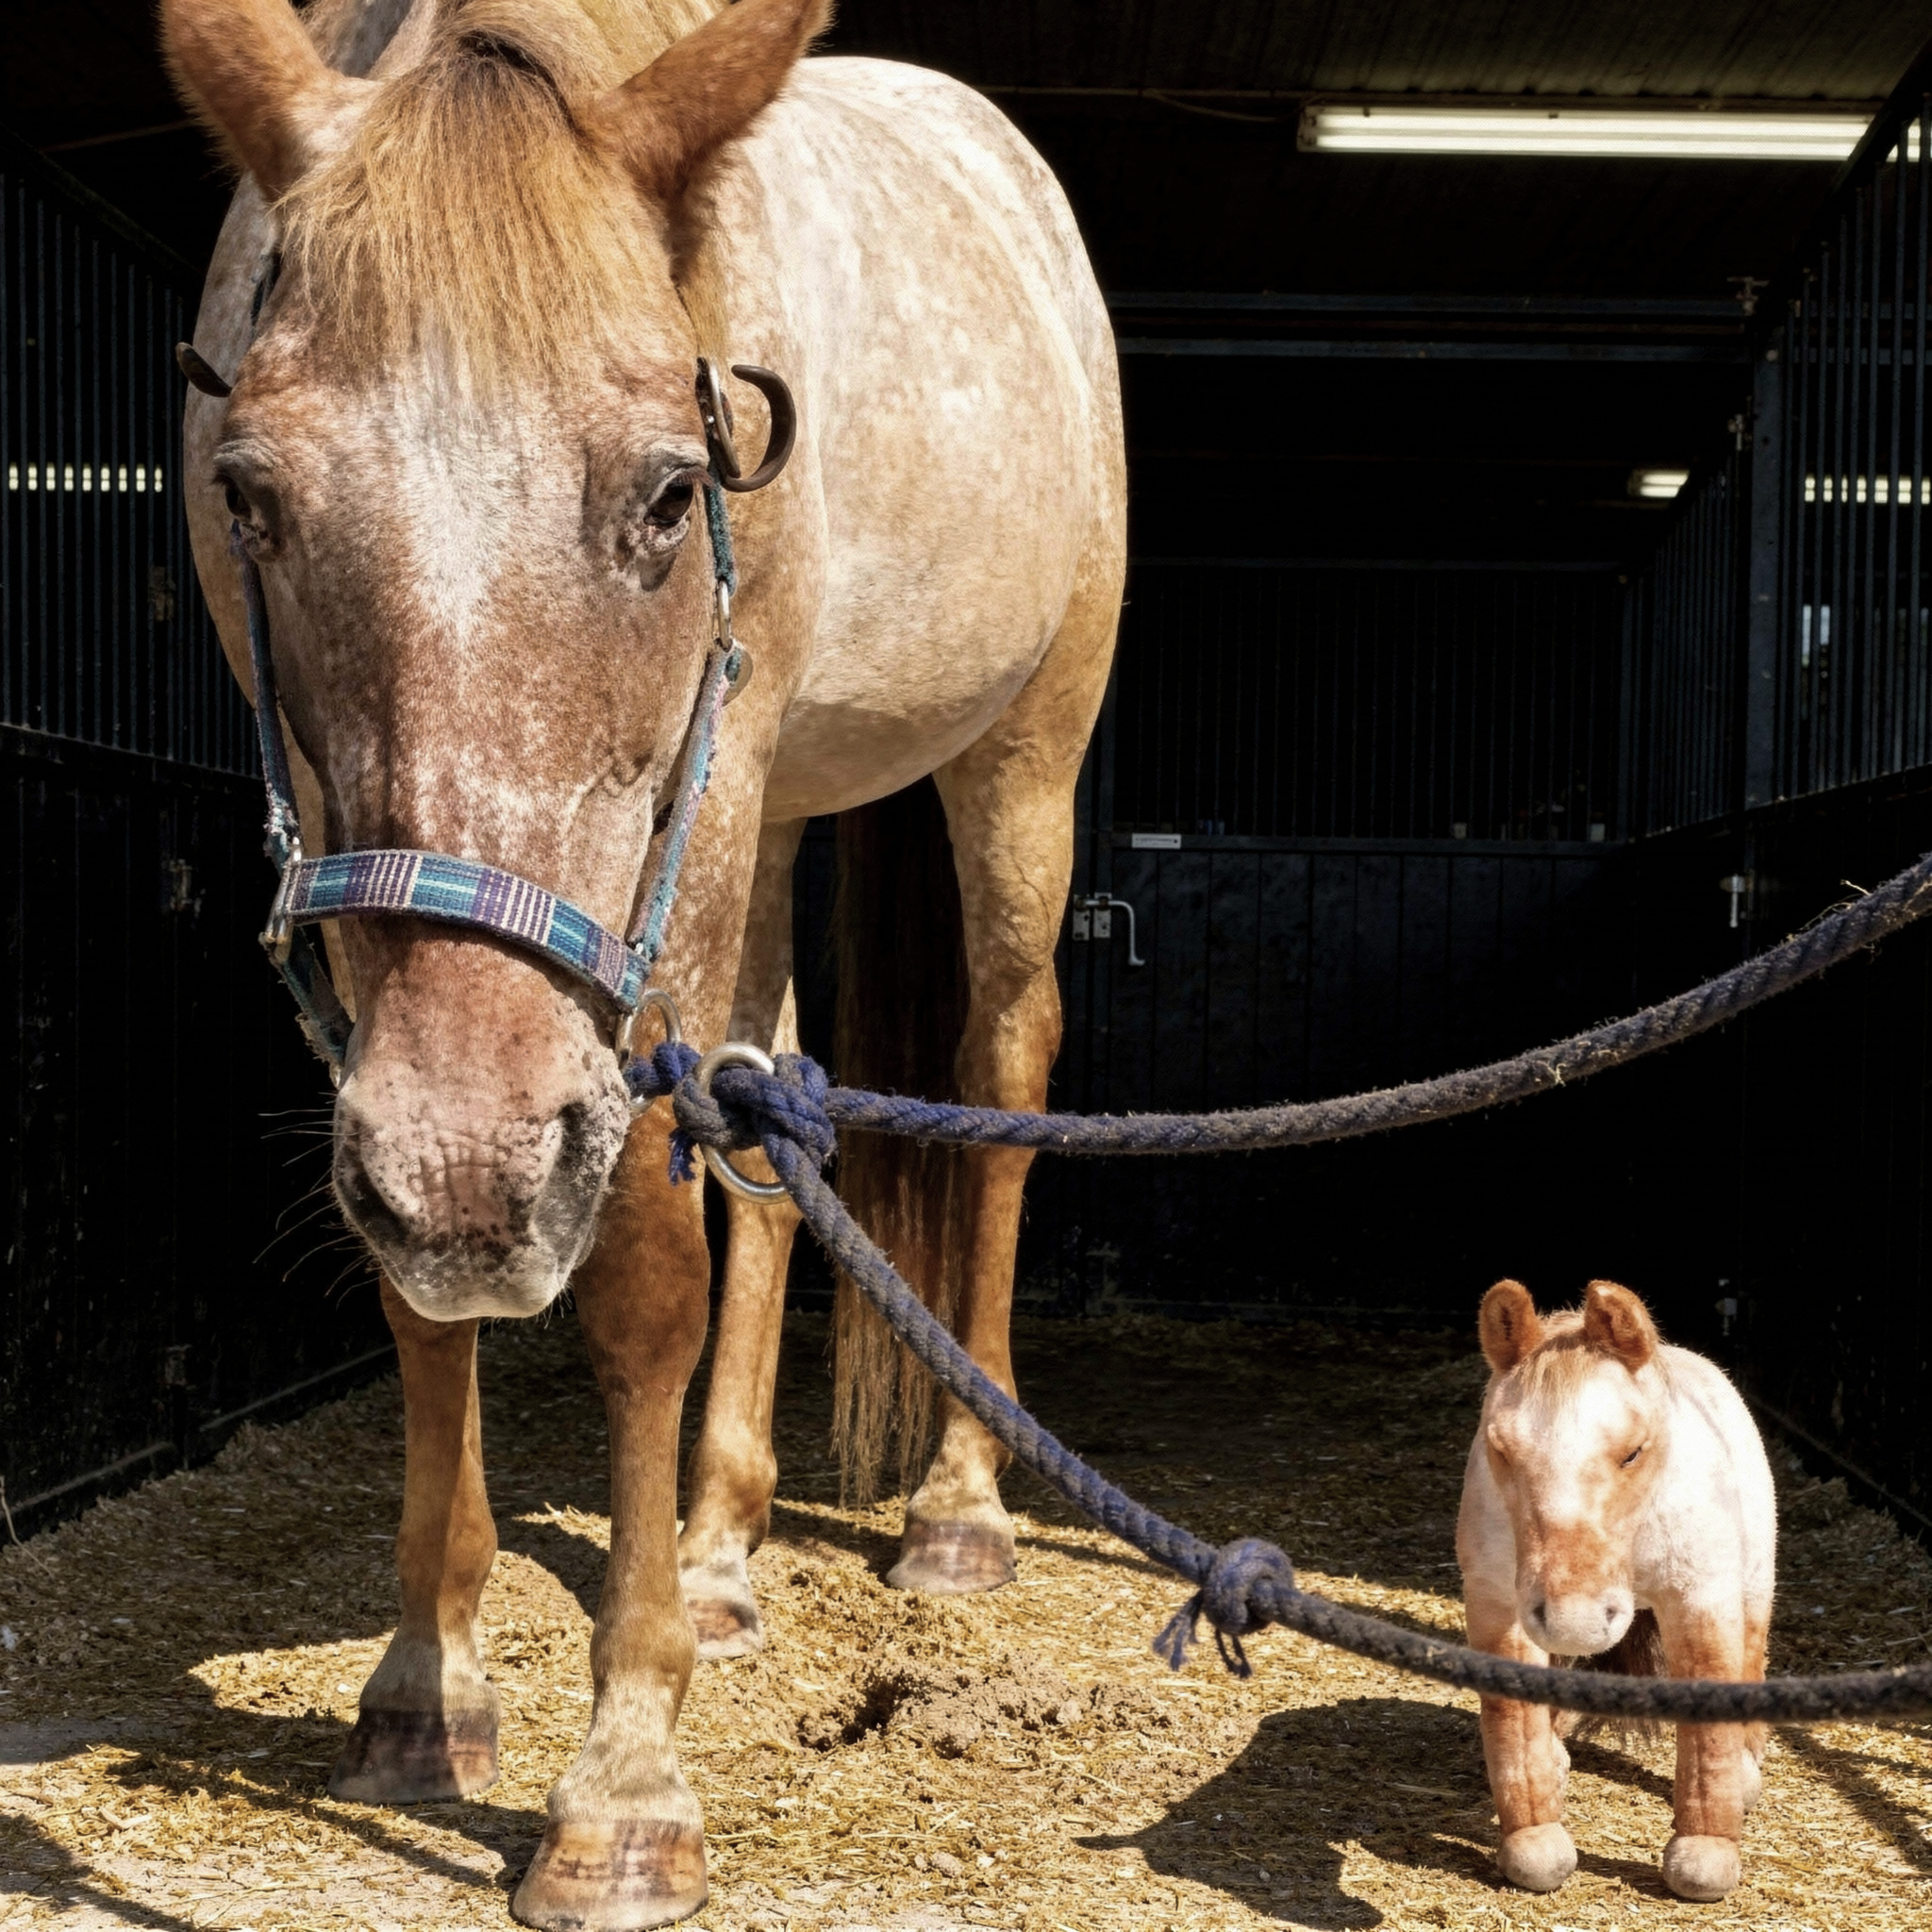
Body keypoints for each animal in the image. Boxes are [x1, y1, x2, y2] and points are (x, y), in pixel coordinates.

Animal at [161, 0, 1125, 1923]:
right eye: (252, 494)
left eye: (673, 494)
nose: (474, 1173)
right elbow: (428, 1297)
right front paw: (428, 1682)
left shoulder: (712, 800)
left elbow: (645, 1286)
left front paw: (623, 1779)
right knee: (768, 1111)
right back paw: (722, 1544)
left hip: (1007, 767)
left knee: (999, 1068)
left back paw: (959, 1509)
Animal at [1458, 1278, 1776, 1903]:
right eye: (1500, 1450)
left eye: (1632, 1450)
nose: (1575, 1619)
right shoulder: (1502, 1607)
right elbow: (1513, 1719)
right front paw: (1534, 1842)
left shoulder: (1700, 1599)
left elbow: (1709, 1710)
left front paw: (1705, 1854)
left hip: (1753, 1586)